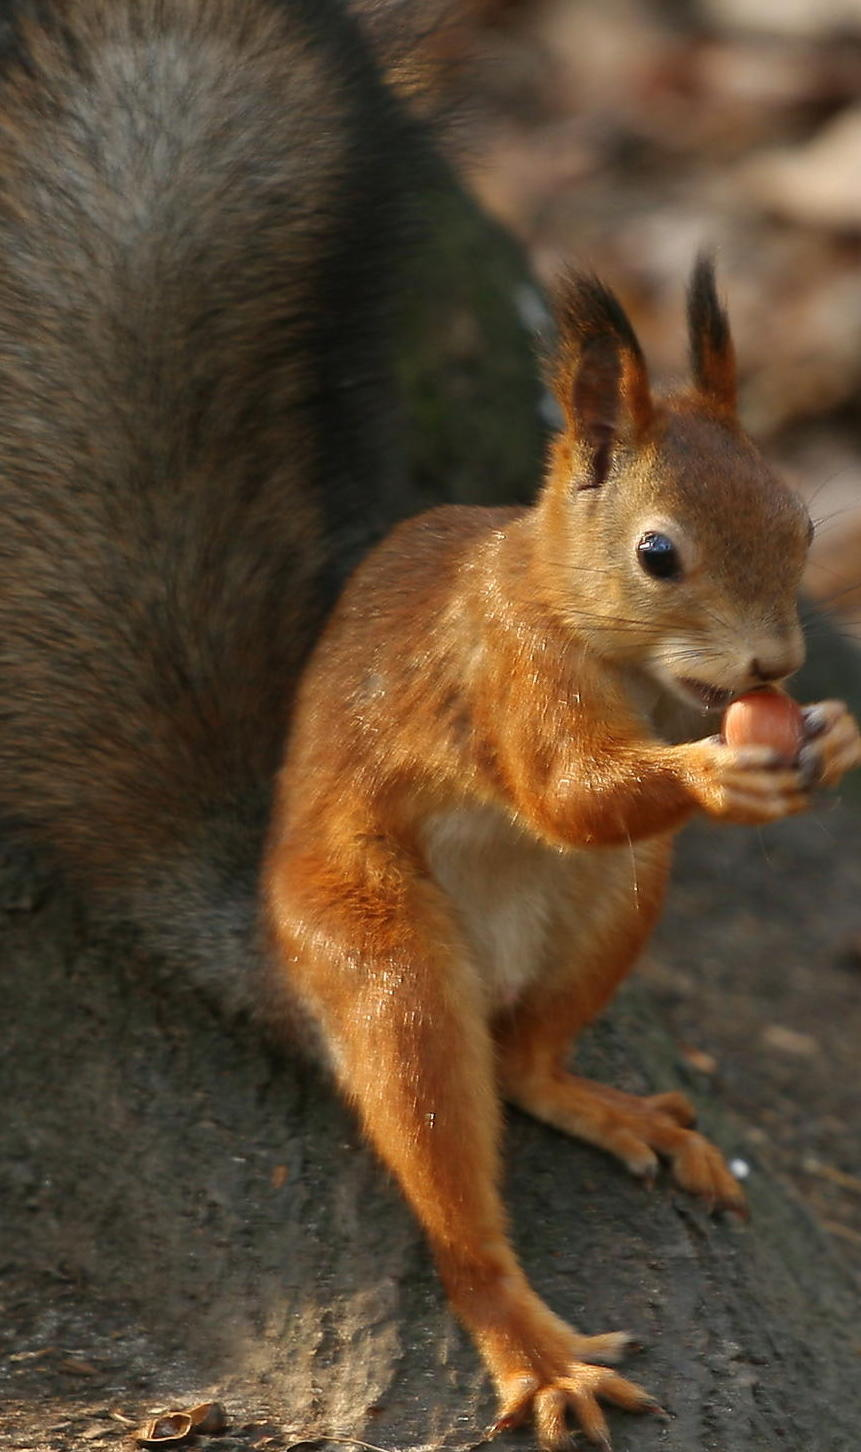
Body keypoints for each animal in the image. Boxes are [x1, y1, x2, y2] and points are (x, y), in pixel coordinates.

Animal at [262, 261, 861, 1449]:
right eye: (657, 554)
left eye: (803, 525)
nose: (776, 664)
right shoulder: (509, 665)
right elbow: (564, 794)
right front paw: (718, 779)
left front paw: (835, 739)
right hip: (384, 959)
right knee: (450, 1169)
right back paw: (536, 1356)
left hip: (619, 902)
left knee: (525, 1063)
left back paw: (608, 1108)